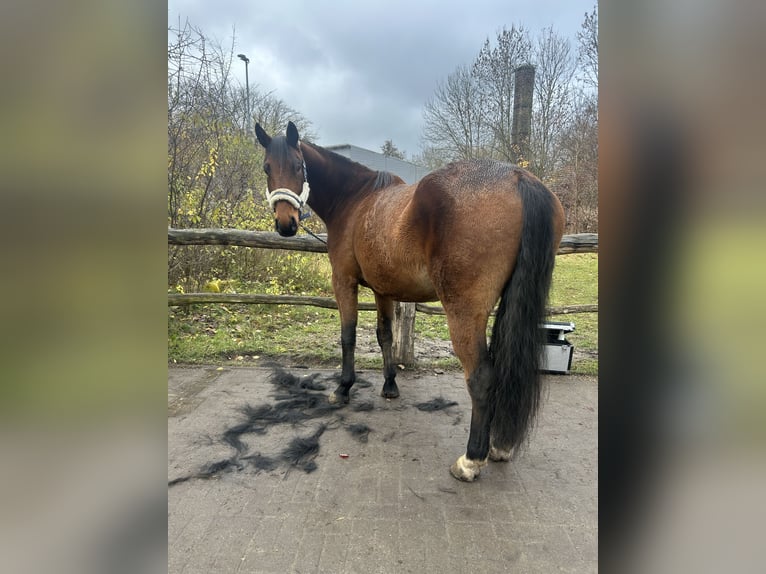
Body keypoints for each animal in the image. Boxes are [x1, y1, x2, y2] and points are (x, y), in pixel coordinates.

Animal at [255, 121, 565, 482]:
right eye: (267, 168)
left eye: (297, 165)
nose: (286, 224)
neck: (355, 200)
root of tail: (518, 178)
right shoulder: (382, 290)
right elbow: (385, 335)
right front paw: (390, 384)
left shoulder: (343, 281)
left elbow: (349, 336)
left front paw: (343, 388)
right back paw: (500, 446)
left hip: (463, 312)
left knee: (481, 377)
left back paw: (471, 459)